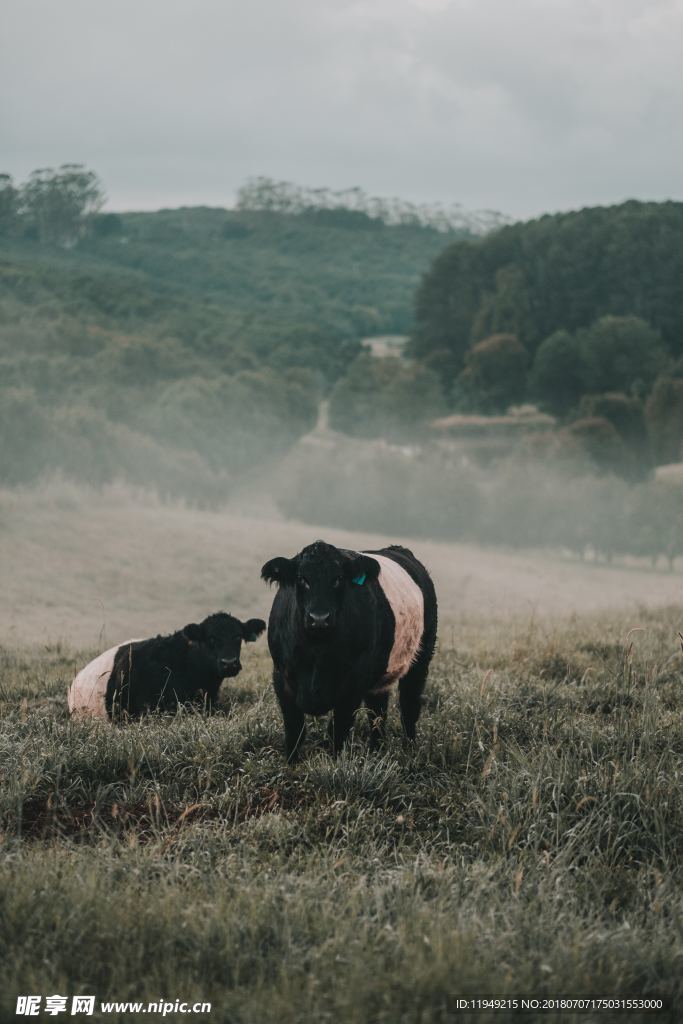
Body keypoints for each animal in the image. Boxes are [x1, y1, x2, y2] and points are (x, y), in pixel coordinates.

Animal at [262, 544, 438, 761]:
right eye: (302, 579)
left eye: (338, 579)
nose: (319, 618)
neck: (317, 651)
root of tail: (398, 549)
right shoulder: (281, 675)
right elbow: (295, 729)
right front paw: (291, 763)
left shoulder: (353, 683)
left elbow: (337, 731)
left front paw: (333, 764)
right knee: (377, 711)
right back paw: (376, 752)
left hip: (421, 659)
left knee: (409, 706)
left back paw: (410, 751)